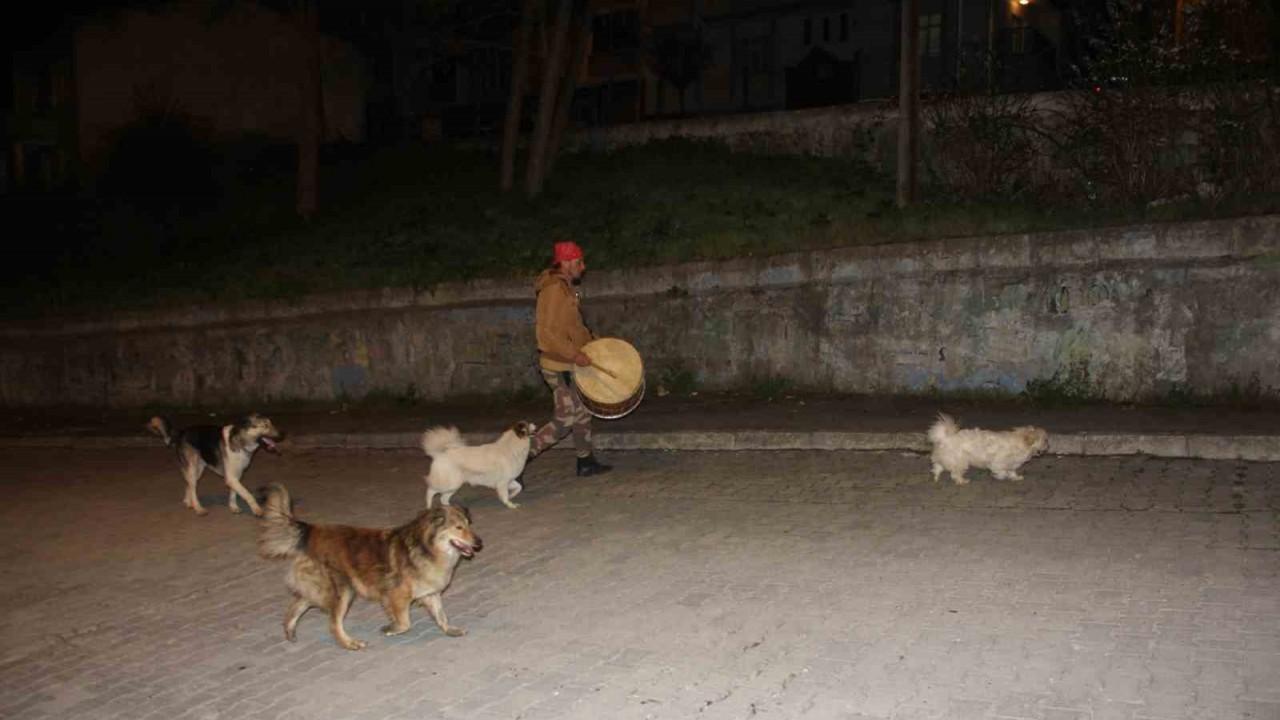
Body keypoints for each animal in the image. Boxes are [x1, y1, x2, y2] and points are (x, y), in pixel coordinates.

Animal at [147, 412, 282, 512]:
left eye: (271, 423)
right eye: (265, 425)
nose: (283, 434)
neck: (241, 441)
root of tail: (182, 432)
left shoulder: (236, 475)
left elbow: (234, 493)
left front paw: (233, 507)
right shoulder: (231, 477)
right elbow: (247, 493)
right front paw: (257, 509)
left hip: (198, 470)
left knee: (189, 485)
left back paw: (188, 502)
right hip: (192, 468)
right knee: (192, 487)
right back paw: (198, 508)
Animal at [257, 479, 481, 648]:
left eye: (469, 524)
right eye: (459, 528)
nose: (479, 543)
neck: (426, 547)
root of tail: (311, 530)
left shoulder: (431, 593)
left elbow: (441, 616)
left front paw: (450, 630)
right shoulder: (395, 595)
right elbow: (405, 622)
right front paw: (390, 629)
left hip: (321, 588)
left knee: (298, 604)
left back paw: (290, 630)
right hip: (343, 591)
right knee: (333, 623)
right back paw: (349, 643)